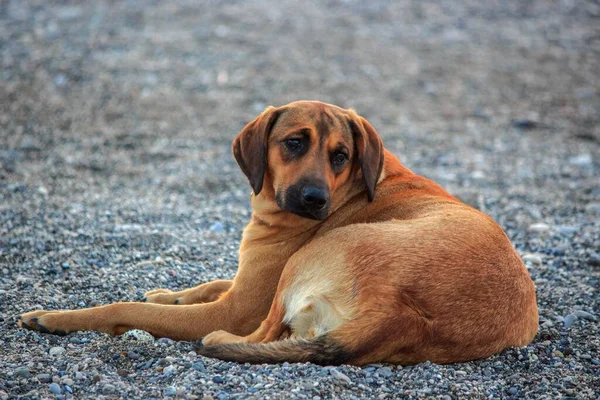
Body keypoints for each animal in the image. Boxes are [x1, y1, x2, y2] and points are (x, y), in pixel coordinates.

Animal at [17, 101, 540, 366]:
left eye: (341, 155)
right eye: (294, 143)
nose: (314, 200)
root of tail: (400, 314)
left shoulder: (239, 304)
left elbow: (125, 309)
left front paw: (55, 317)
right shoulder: (245, 281)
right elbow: (208, 282)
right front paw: (170, 292)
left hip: (307, 262)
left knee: (262, 332)